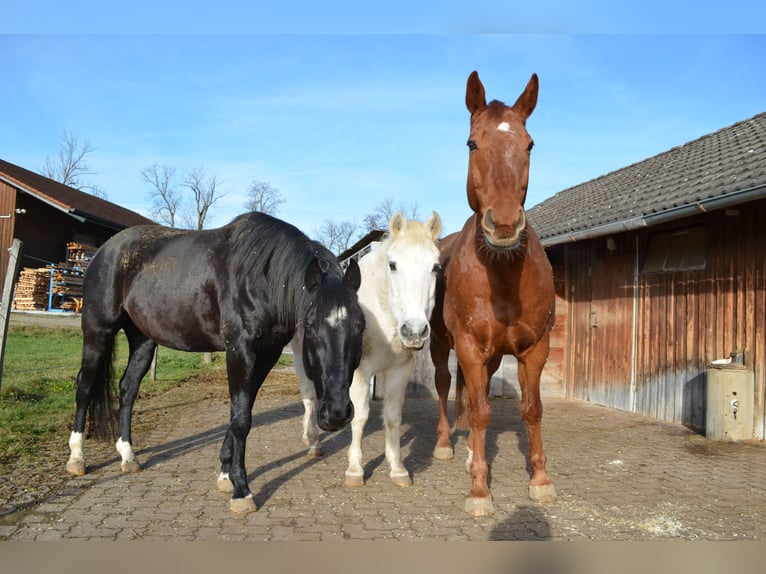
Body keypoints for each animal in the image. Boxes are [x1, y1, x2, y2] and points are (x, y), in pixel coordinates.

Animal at [67, 214, 366, 516]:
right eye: (310, 328)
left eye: (360, 327)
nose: (337, 413)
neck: (262, 277)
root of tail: (105, 250)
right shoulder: (239, 350)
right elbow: (241, 420)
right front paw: (241, 491)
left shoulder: (266, 354)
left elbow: (242, 410)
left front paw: (225, 474)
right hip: (98, 331)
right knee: (85, 386)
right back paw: (77, 458)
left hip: (143, 340)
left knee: (127, 388)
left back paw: (128, 456)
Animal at [292, 214, 440, 488]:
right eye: (393, 265)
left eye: (435, 267)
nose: (414, 331)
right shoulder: (359, 372)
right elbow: (359, 417)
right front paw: (354, 470)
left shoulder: (399, 370)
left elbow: (392, 417)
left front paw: (398, 469)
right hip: (301, 358)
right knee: (308, 397)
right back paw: (312, 440)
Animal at [432, 71, 560, 516]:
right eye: (472, 143)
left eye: (529, 144)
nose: (503, 224)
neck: (502, 276)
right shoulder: (469, 346)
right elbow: (481, 412)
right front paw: (479, 491)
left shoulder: (534, 348)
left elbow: (532, 410)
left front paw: (540, 479)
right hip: (442, 345)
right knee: (444, 386)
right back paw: (445, 446)